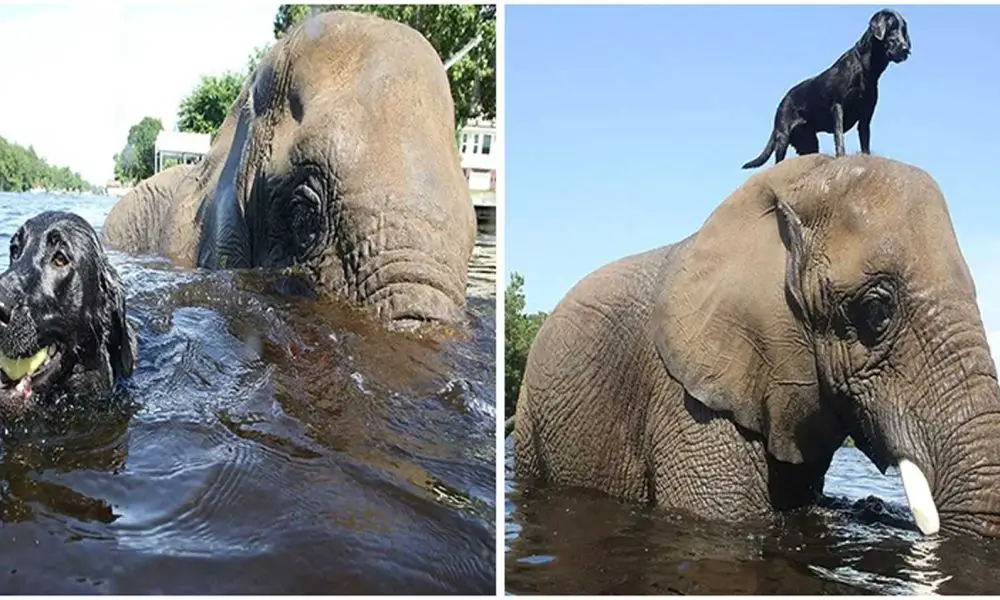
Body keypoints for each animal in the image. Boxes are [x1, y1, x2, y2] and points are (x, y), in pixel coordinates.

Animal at [744, 8, 916, 169]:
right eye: (891, 27)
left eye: (903, 31)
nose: (906, 49)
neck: (865, 68)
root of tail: (783, 100)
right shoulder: (838, 107)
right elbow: (839, 137)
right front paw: (841, 157)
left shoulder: (866, 116)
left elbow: (865, 141)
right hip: (783, 137)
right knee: (777, 161)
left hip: (809, 142)